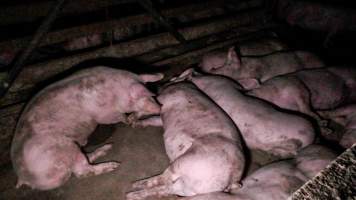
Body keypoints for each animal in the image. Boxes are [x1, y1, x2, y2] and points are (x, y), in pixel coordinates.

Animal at [9, 66, 163, 190]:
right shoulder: (103, 114)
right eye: (145, 97)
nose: (160, 107)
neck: (115, 93)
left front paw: (132, 120)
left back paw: (106, 148)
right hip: (62, 149)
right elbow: (117, 117)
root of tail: (23, 177)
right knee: (82, 171)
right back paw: (113, 165)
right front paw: (127, 120)